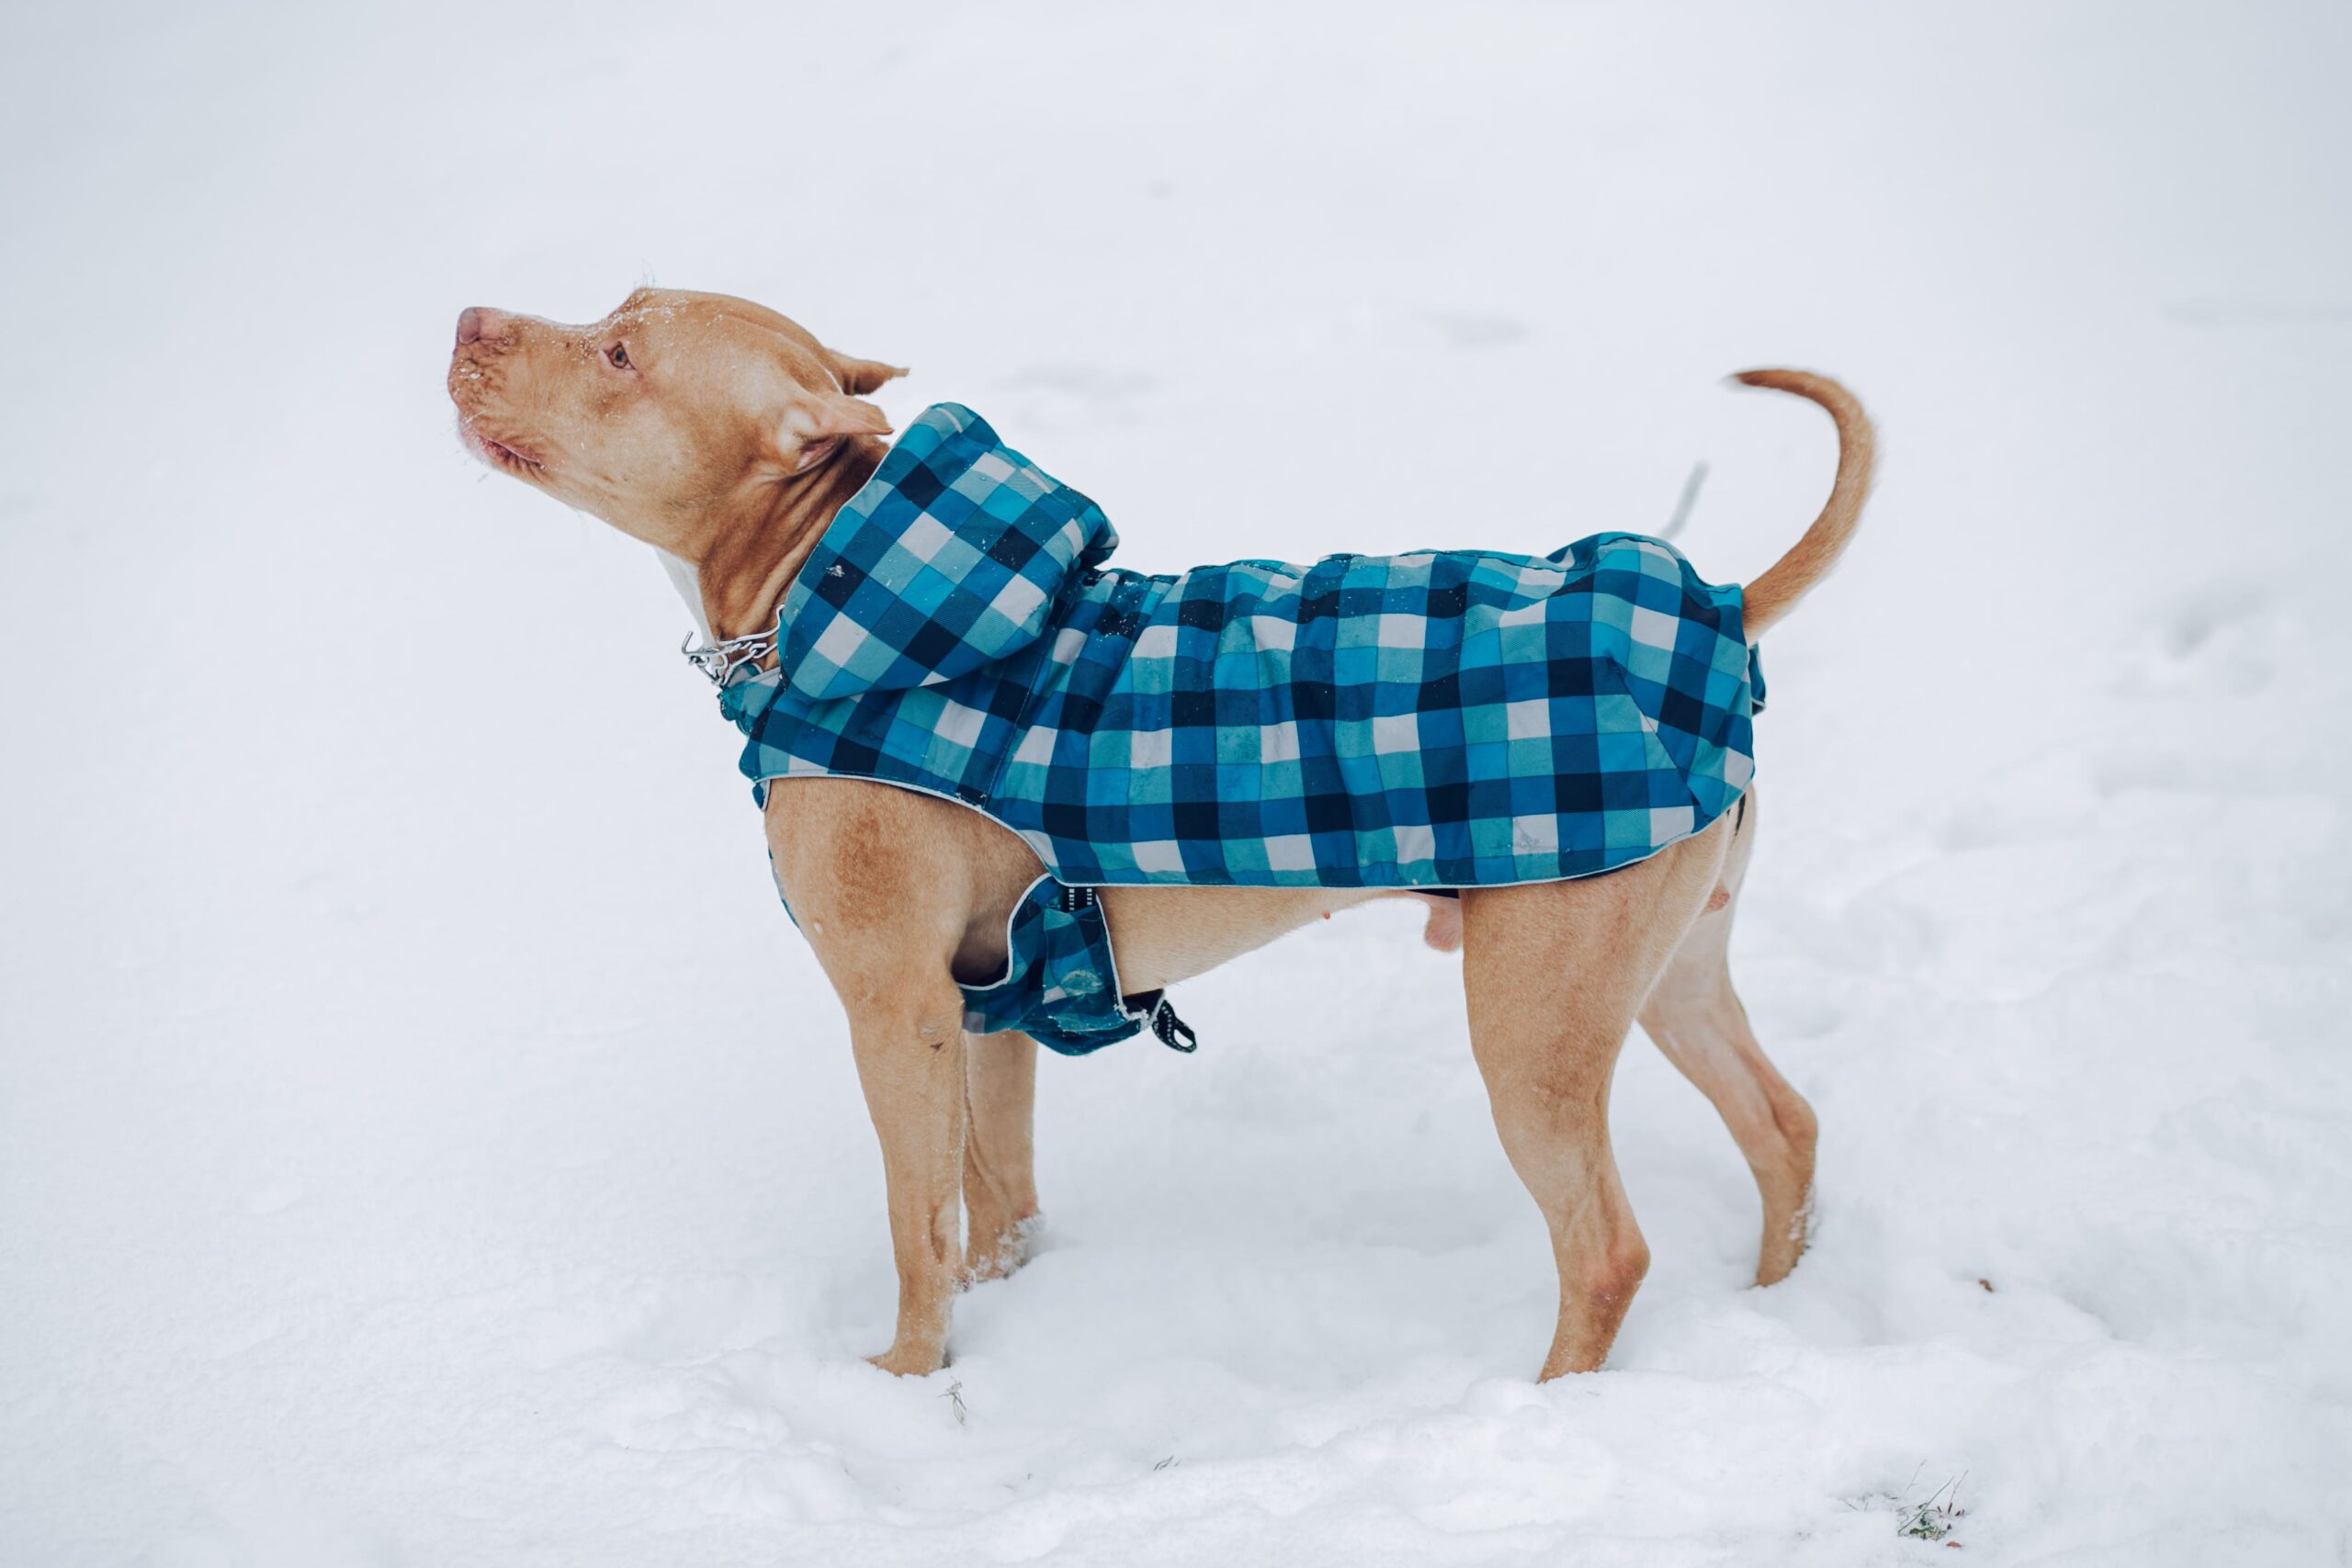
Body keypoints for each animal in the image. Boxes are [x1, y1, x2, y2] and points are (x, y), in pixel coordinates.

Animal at [442, 288, 1871, 1382]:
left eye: (621, 357)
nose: (468, 318)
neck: (827, 582)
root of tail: (1720, 604)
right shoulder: (988, 1008)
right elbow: (993, 1198)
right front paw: (1010, 1302)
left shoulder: (895, 1012)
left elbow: (916, 1224)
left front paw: (906, 1379)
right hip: (1671, 966)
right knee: (1785, 1124)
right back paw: (1777, 1307)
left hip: (1535, 1023)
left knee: (1607, 1246)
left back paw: (1545, 1410)